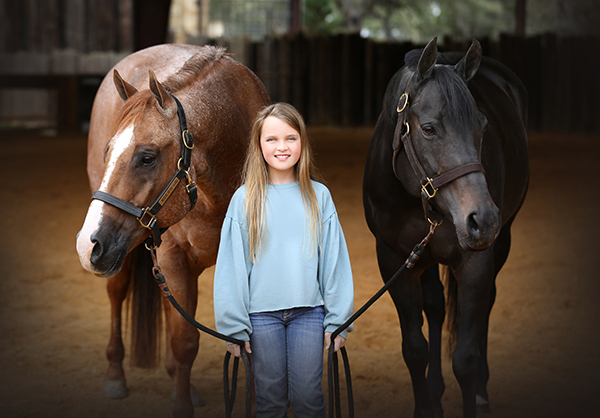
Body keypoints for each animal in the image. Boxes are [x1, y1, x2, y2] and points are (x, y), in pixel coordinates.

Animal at [75, 44, 270, 416]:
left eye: (147, 157)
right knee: (118, 293)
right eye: (108, 152)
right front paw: (181, 404)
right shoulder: (172, 257)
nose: (86, 245)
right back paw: (115, 375)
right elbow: (185, 342)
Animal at [364, 37, 528, 416]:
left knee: (487, 304)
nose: (483, 219)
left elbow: (465, 359)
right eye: (428, 129)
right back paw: (436, 390)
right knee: (436, 307)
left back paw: (481, 391)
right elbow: (414, 348)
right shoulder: (395, 260)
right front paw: (426, 406)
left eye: (483, 127)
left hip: (502, 240)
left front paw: (474, 393)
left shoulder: (475, 261)